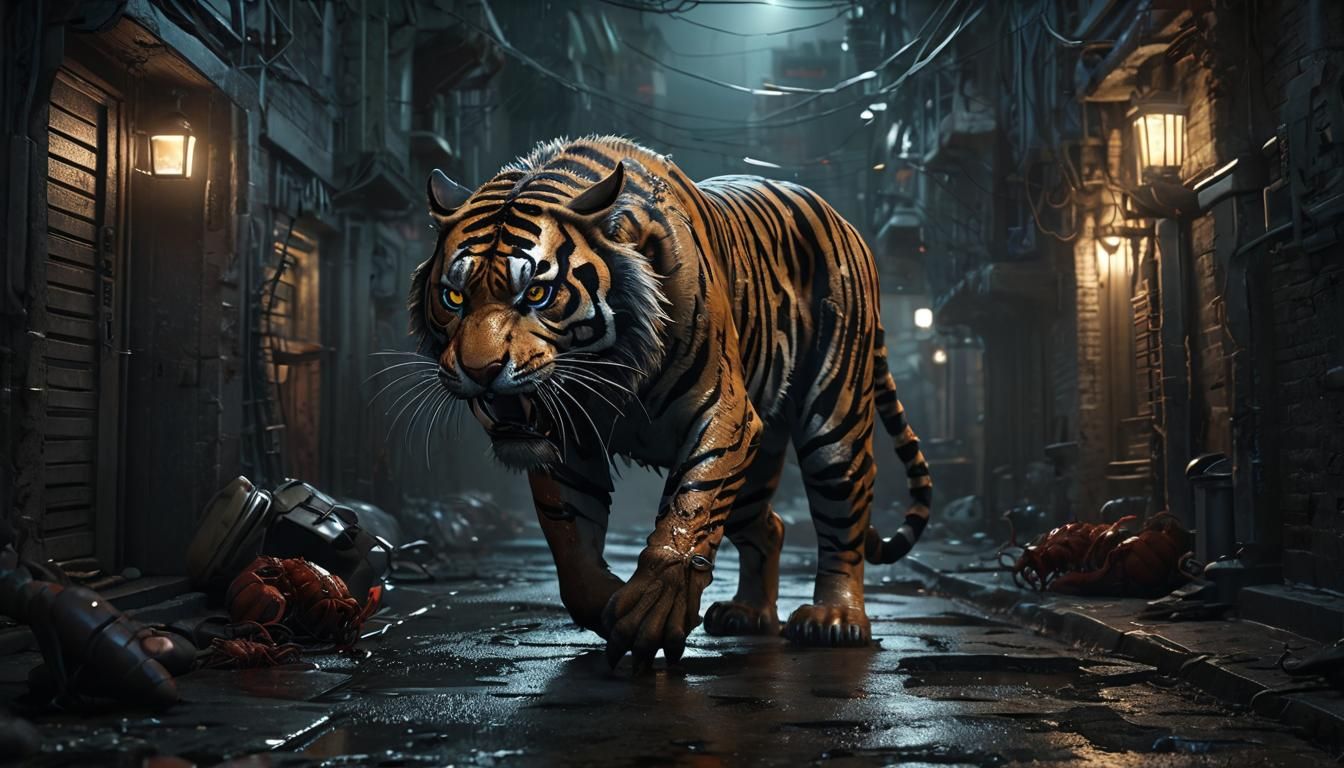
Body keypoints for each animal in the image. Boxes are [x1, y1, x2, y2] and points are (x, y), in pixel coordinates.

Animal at [409, 136, 931, 669]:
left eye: (536, 292)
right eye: (454, 298)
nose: (480, 372)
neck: (605, 368)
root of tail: (841, 220)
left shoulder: (724, 414)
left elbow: (691, 507)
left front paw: (651, 614)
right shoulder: (567, 439)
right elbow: (571, 544)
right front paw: (607, 606)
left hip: (834, 417)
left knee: (843, 515)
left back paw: (834, 619)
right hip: (757, 467)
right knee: (771, 526)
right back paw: (748, 614)